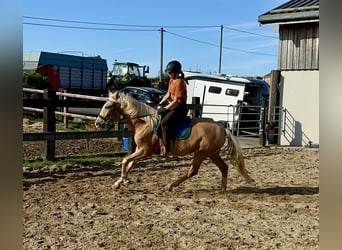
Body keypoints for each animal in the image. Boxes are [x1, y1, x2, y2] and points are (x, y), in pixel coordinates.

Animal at [94, 91, 254, 190]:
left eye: (108, 106)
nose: (97, 123)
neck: (144, 122)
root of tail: (222, 127)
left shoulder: (144, 151)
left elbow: (125, 161)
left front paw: (122, 179)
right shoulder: (140, 151)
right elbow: (131, 164)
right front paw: (121, 182)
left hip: (201, 153)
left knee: (193, 171)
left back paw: (171, 185)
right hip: (212, 153)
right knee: (224, 167)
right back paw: (222, 188)